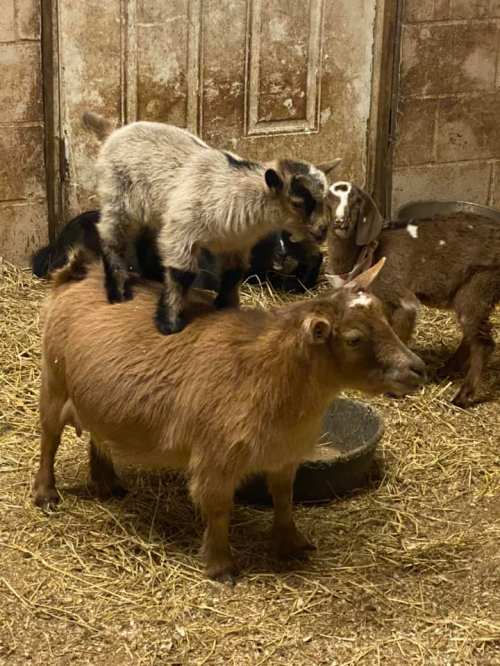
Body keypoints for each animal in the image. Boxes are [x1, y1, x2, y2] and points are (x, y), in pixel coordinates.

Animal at [33, 253, 425, 581]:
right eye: (354, 338)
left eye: (384, 316)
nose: (416, 369)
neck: (268, 374)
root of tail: (74, 272)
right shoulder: (215, 459)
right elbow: (219, 508)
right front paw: (221, 566)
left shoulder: (285, 455)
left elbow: (284, 498)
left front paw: (291, 543)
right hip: (54, 383)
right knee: (49, 438)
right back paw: (46, 494)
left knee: (96, 434)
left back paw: (107, 483)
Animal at [82, 111, 340, 334]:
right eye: (297, 203)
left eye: (325, 197)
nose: (322, 230)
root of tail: (115, 131)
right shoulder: (181, 232)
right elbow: (181, 274)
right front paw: (169, 323)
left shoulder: (237, 243)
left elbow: (233, 274)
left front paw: (228, 308)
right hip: (117, 198)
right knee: (111, 238)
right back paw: (118, 291)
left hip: (151, 211)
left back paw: (152, 277)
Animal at [327, 182, 500, 407]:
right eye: (328, 199)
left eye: (357, 201)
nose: (341, 222)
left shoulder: (401, 299)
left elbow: (399, 334)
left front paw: (394, 389)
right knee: (470, 336)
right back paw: (446, 370)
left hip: (479, 285)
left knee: (483, 343)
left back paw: (462, 396)